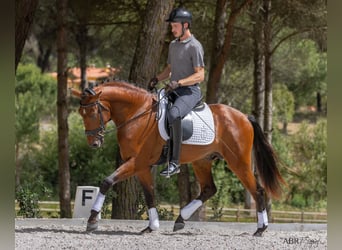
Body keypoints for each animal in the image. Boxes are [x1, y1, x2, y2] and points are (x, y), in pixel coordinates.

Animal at [71, 80, 284, 236]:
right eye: (80, 112)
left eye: (92, 112)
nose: (94, 143)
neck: (137, 114)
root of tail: (244, 117)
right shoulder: (142, 166)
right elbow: (149, 194)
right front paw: (152, 226)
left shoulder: (137, 162)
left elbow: (107, 181)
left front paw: (92, 221)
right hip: (202, 161)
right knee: (209, 189)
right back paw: (180, 219)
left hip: (238, 162)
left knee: (258, 190)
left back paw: (260, 229)